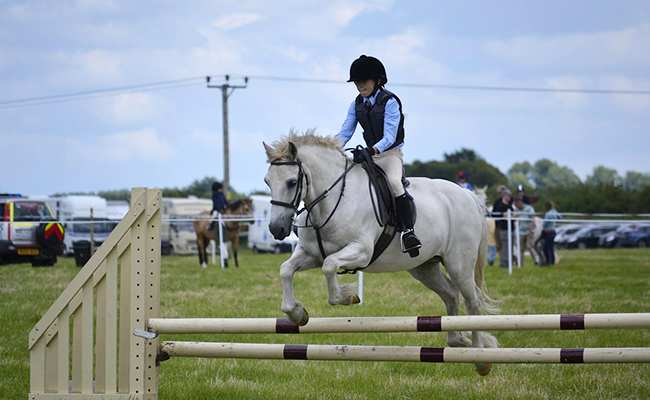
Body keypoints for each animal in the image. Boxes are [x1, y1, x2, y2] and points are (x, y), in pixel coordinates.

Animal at [262, 131, 496, 376]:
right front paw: (298, 313)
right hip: (425, 267)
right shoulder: (310, 254)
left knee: (473, 301)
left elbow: (330, 266)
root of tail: (467, 195)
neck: (333, 199)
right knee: (451, 294)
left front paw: (348, 296)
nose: (276, 229)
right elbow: (286, 270)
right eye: (267, 182)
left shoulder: (361, 251)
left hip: (459, 264)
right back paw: (458, 341)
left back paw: (480, 356)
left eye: (292, 182)